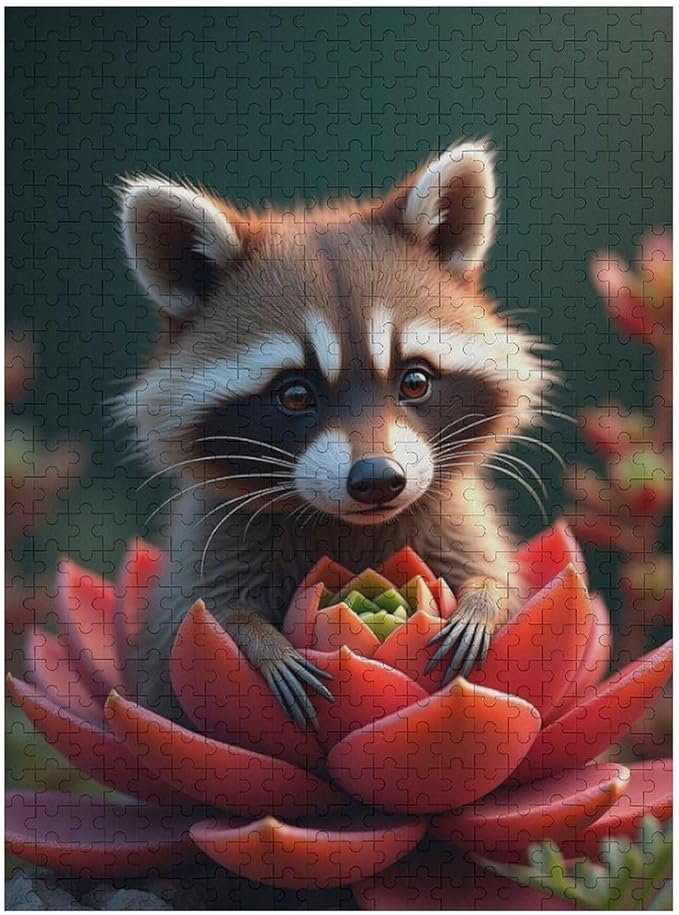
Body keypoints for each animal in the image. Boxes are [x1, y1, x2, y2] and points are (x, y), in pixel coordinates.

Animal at [117, 139, 554, 729]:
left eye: (415, 380)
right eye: (295, 395)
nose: (378, 479)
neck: (349, 524)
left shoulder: (457, 517)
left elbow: (499, 581)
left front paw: (482, 602)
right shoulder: (211, 536)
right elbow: (200, 619)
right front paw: (260, 643)